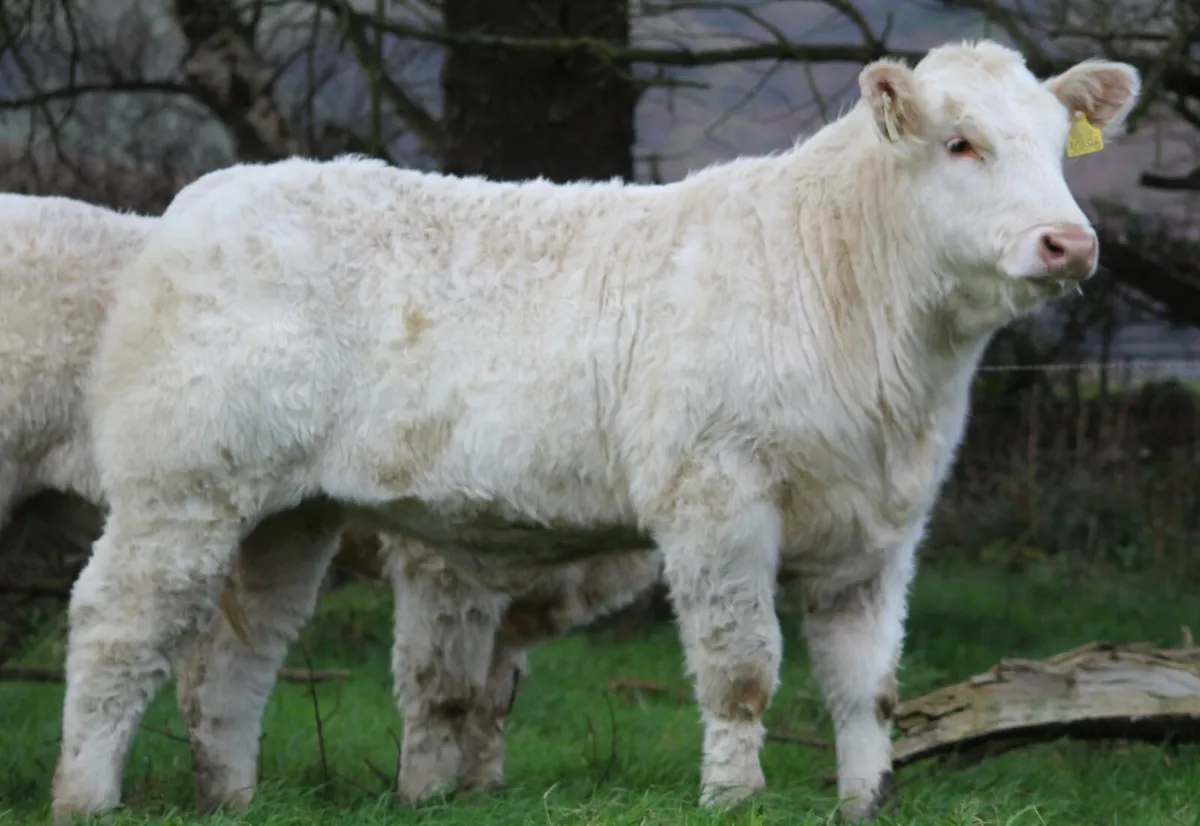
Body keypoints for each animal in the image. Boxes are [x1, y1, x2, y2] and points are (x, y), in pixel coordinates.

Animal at [50, 39, 1140, 823]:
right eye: (961, 143)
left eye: (1058, 145)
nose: (1069, 242)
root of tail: (203, 198)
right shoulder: (716, 499)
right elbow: (742, 669)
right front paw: (734, 798)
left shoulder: (881, 531)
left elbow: (866, 686)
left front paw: (866, 802)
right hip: (179, 488)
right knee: (116, 629)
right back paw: (85, 796)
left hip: (287, 512)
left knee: (236, 654)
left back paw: (230, 799)